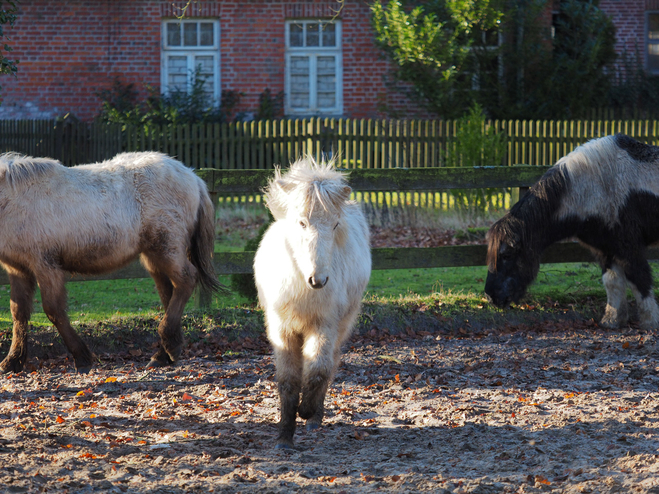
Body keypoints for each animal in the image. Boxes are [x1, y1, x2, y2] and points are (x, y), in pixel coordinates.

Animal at [0, 152, 222, 372]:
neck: (13, 200)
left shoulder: (45, 266)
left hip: (167, 249)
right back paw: (163, 354)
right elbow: (18, 312)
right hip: (153, 257)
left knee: (186, 280)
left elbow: (53, 310)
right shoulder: (18, 270)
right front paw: (13, 360)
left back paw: (169, 345)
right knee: (170, 293)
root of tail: (193, 177)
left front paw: (82, 357)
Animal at [255, 156, 374, 450]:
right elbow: (288, 381)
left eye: (335, 225)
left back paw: (315, 418)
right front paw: (284, 437)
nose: (318, 280)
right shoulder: (281, 330)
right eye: (301, 223)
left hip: (342, 325)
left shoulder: (324, 326)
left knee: (329, 364)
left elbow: (318, 370)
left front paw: (307, 411)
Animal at [484, 133, 659, 330]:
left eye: (506, 255)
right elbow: (612, 282)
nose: (491, 297)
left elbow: (640, 280)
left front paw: (650, 321)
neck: (594, 186)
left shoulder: (629, 248)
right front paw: (612, 321)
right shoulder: (606, 249)